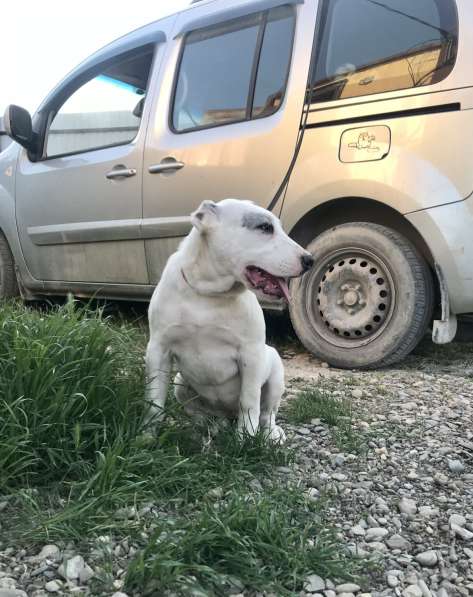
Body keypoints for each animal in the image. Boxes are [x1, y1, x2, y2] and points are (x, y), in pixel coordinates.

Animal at [146, 198, 312, 440]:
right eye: (265, 227)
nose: (310, 259)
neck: (208, 293)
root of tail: (226, 415)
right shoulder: (158, 349)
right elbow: (154, 400)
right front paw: (146, 436)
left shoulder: (251, 356)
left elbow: (249, 401)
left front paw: (245, 438)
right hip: (180, 383)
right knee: (201, 414)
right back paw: (207, 428)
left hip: (274, 374)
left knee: (267, 413)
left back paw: (269, 435)